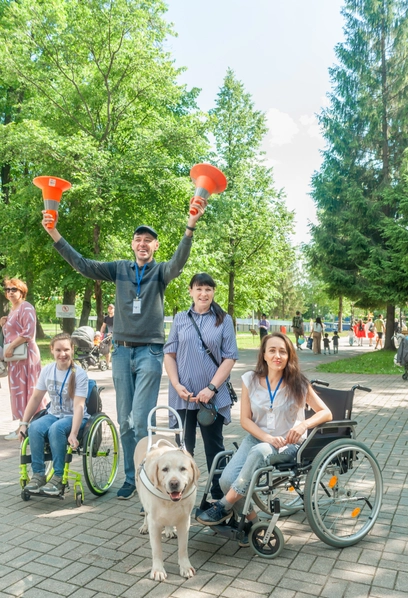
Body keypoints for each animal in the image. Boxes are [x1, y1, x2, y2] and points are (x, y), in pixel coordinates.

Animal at [135, 435, 200, 581]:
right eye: (164, 469)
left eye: (183, 468)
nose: (174, 483)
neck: (170, 501)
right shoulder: (154, 523)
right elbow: (157, 549)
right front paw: (158, 570)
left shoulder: (184, 521)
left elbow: (183, 548)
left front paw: (185, 567)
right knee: (145, 512)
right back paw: (144, 526)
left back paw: (169, 530)